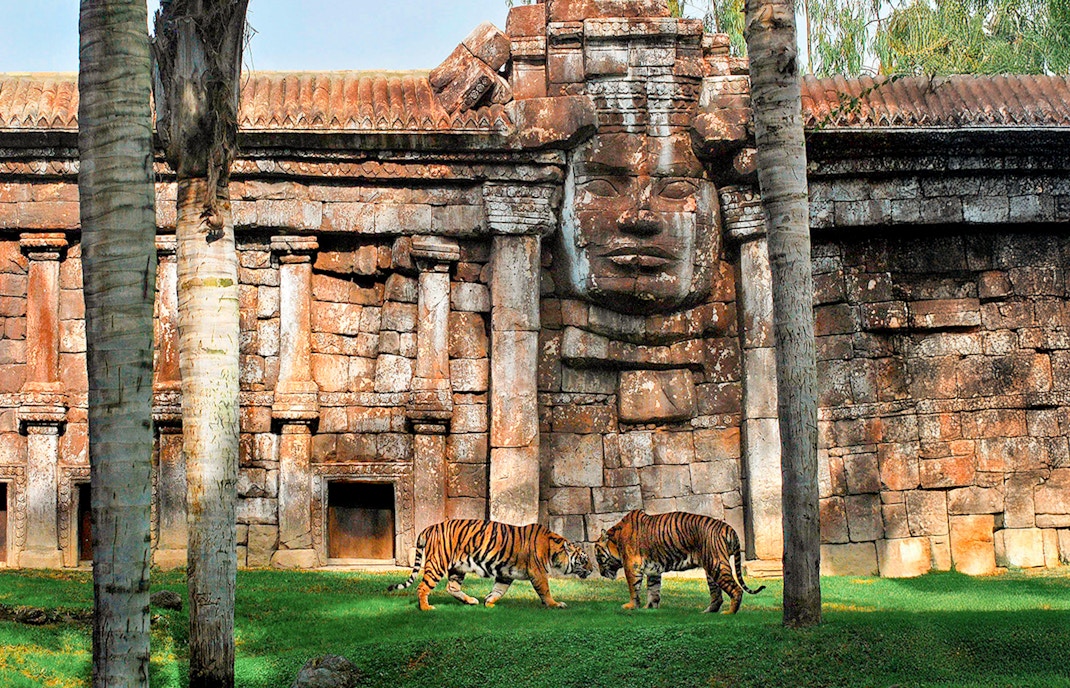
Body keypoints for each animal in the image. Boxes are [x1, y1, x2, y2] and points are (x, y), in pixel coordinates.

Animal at [386, 519, 593, 611]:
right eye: (584, 560)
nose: (592, 570)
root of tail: (429, 528)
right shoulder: (538, 572)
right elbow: (545, 589)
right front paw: (555, 604)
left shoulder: (505, 574)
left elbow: (499, 590)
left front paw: (489, 602)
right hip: (438, 564)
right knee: (422, 587)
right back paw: (426, 608)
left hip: (457, 568)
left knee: (451, 587)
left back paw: (470, 601)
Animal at [596, 510, 765, 614]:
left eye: (597, 556)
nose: (601, 573)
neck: (615, 540)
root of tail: (728, 527)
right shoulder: (653, 570)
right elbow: (653, 590)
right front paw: (649, 608)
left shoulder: (632, 566)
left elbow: (633, 588)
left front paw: (631, 606)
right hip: (711, 569)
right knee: (717, 595)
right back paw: (707, 612)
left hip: (716, 565)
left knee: (736, 590)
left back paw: (729, 613)